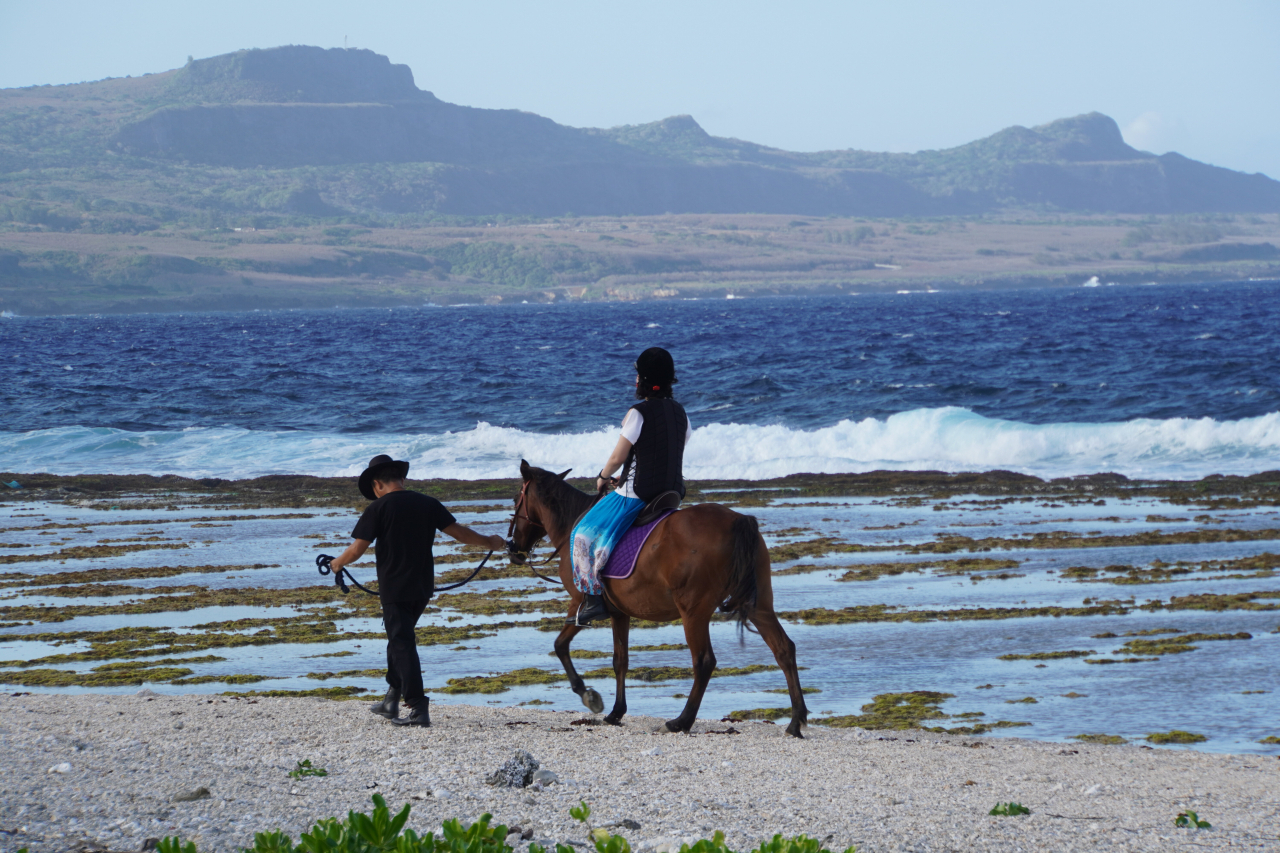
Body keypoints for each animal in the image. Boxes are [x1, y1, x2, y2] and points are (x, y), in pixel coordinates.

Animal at [504, 461, 803, 732]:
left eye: (517, 499)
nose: (513, 548)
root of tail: (736, 519)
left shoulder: (580, 602)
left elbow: (560, 645)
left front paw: (589, 695)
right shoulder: (619, 613)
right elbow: (620, 660)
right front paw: (616, 712)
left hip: (693, 612)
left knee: (704, 661)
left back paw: (681, 721)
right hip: (759, 605)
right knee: (783, 649)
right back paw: (795, 721)